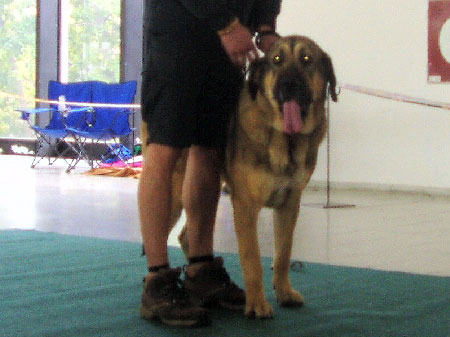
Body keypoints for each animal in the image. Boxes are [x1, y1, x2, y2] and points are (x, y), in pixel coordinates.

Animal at [142, 35, 336, 318]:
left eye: (307, 59)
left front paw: (284, 292)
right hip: (172, 193)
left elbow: (283, 254)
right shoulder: (245, 205)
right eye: (277, 60)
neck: (284, 139)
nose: (289, 84)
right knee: (152, 235)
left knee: (186, 235)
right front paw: (257, 304)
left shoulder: (290, 204)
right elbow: (252, 257)